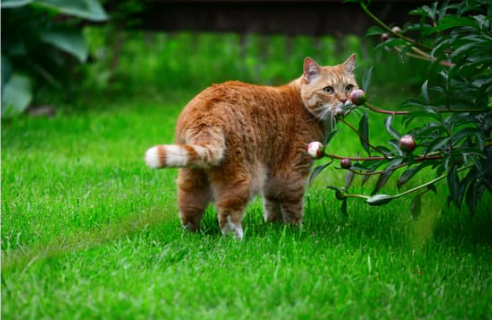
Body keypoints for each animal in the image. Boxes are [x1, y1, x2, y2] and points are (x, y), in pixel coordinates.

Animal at [144, 54, 360, 238]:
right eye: (328, 90)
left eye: (349, 87)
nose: (345, 100)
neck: (303, 105)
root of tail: (207, 114)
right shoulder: (294, 171)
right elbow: (293, 207)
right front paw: (296, 231)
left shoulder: (274, 172)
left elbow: (271, 202)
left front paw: (273, 226)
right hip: (245, 175)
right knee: (227, 212)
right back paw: (237, 239)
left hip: (193, 173)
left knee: (188, 205)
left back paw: (193, 235)